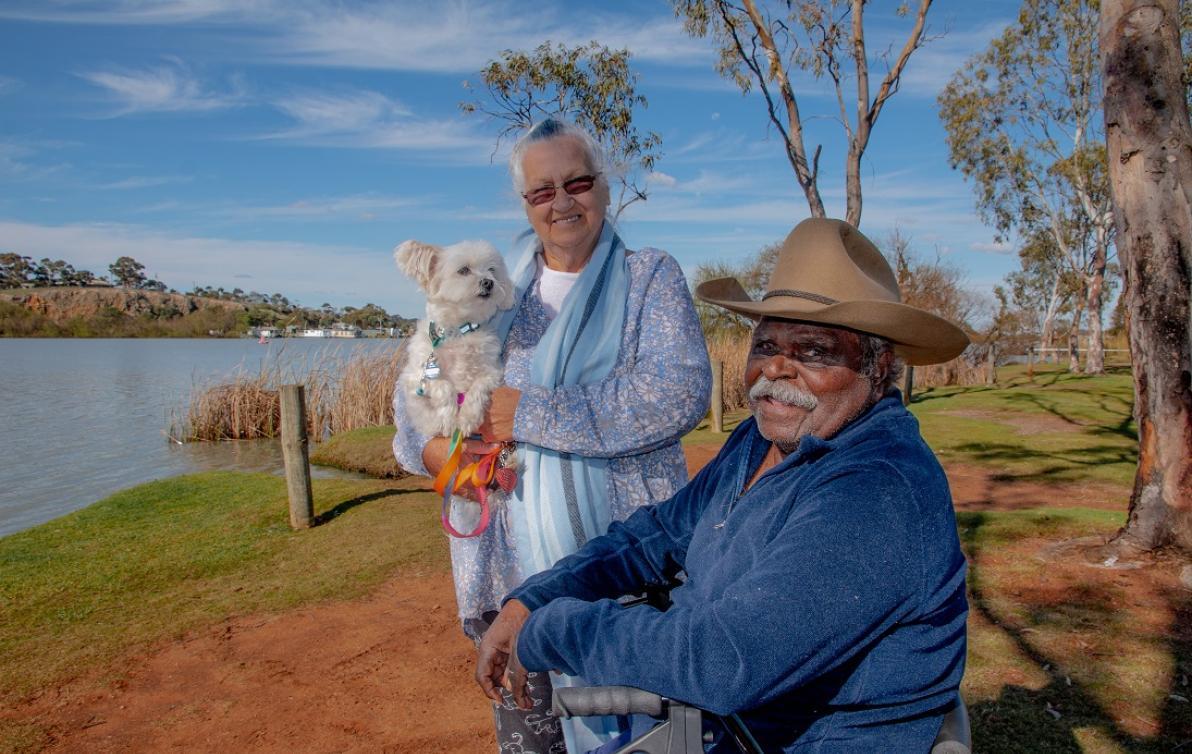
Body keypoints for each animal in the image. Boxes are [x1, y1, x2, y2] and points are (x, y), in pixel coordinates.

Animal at [398, 238, 514, 438]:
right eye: (463, 270)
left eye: (492, 270)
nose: (488, 282)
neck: (459, 331)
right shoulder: (416, 377)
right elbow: (443, 385)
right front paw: (448, 419)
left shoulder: (493, 372)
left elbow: (478, 387)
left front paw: (468, 417)